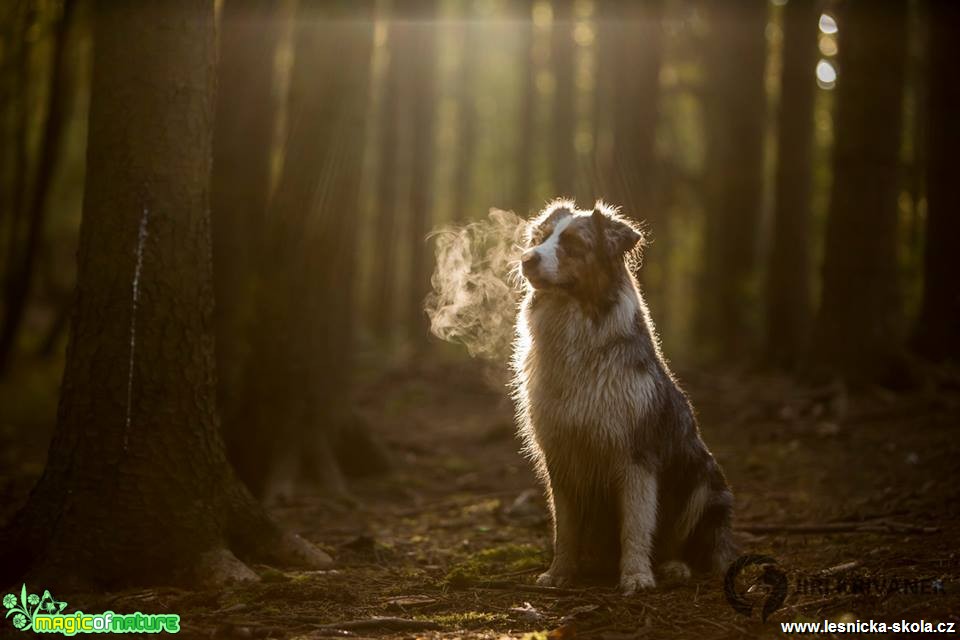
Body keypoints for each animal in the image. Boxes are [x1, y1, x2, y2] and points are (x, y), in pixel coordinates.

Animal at [512, 199, 732, 596]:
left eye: (572, 243)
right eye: (540, 238)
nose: (526, 259)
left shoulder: (636, 453)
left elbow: (636, 522)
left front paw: (636, 576)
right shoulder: (560, 451)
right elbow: (565, 526)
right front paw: (559, 573)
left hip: (706, 484)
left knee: (694, 544)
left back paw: (674, 566)